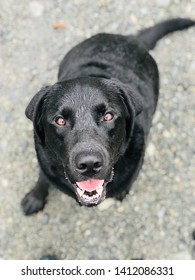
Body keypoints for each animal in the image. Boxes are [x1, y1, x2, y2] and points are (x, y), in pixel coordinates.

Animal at [21, 18, 195, 214]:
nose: (89, 164)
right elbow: (43, 176)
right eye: (60, 120)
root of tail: (131, 39)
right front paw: (35, 197)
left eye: (108, 116)